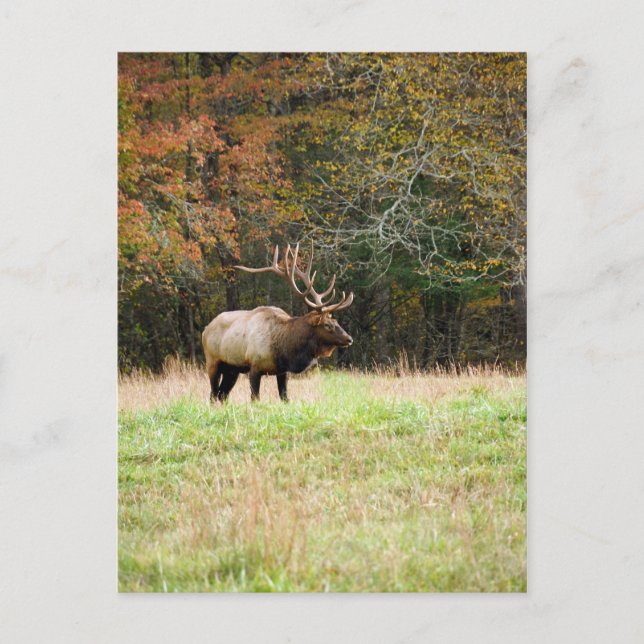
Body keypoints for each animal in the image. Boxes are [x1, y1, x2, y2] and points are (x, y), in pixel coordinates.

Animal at [202, 241, 354, 402]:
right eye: (327, 325)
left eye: (336, 321)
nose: (349, 339)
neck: (285, 350)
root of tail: (205, 329)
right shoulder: (254, 366)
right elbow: (255, 398)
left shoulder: (282, 371)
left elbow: (285, 398)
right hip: (212, 362)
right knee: (213, 395)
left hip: (232, 369)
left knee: (222, 395)